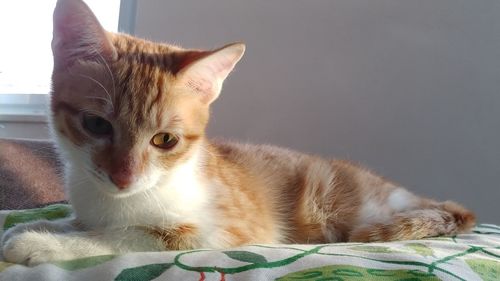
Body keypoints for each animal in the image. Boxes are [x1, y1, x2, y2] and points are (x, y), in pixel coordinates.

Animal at [0, 0, 476, 264]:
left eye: (165, 140)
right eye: (97, 124)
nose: (124, 177)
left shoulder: (220, 231)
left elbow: (127, 236)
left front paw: (45, 244)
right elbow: (78, 221)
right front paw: (47, 226)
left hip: (358, 206)